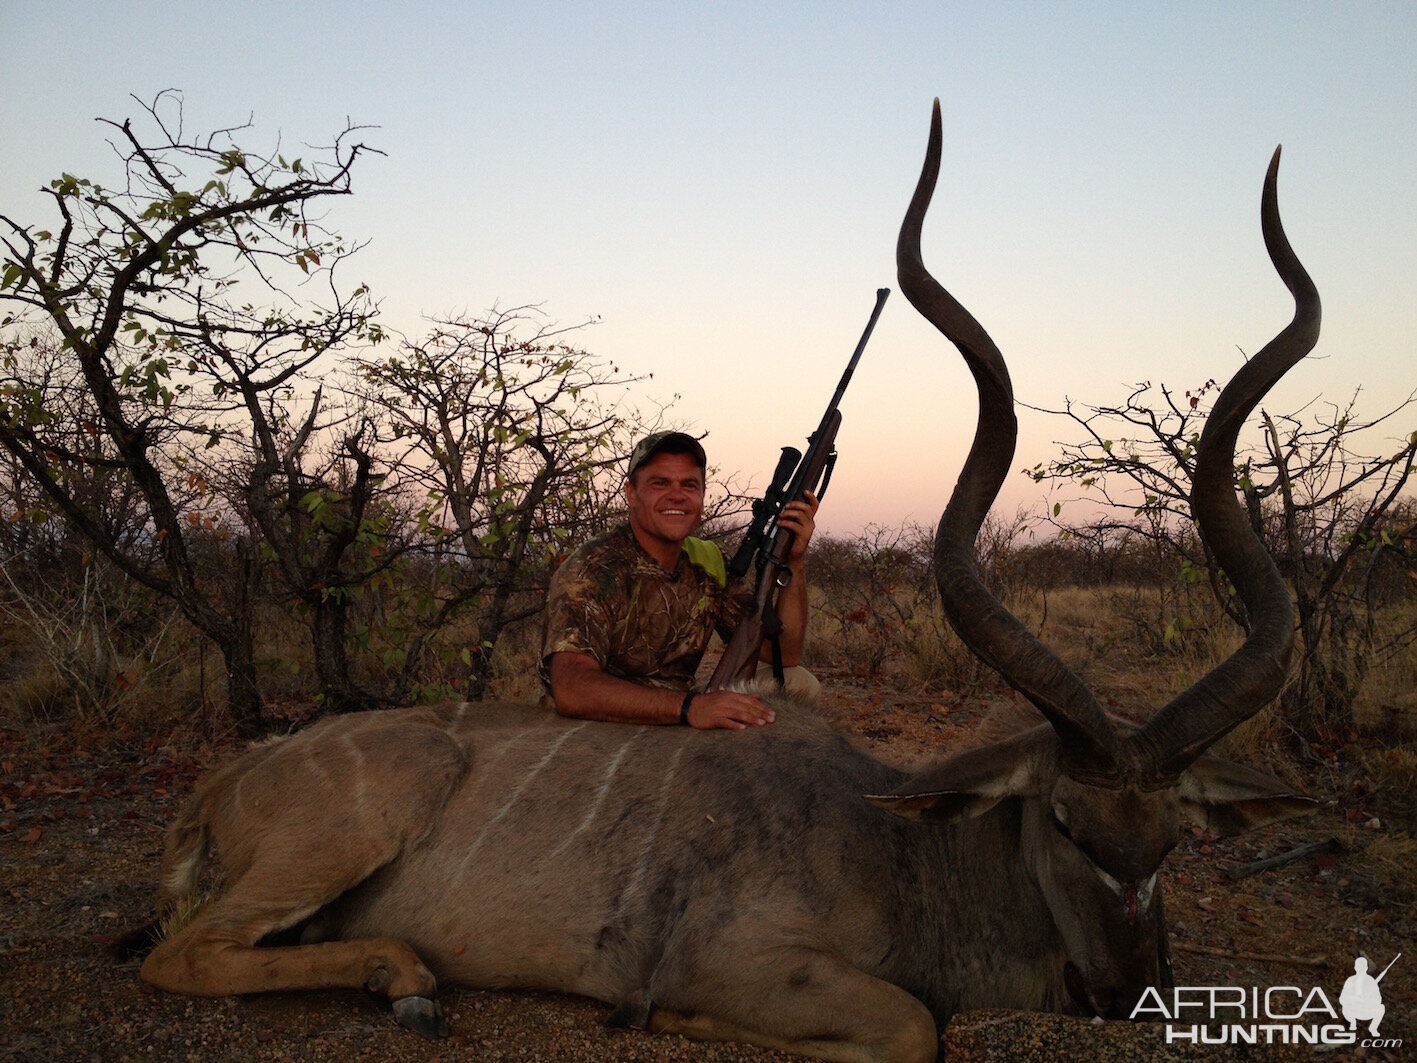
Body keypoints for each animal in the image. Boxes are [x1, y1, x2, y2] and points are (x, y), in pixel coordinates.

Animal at [135, 102, 1314, 1063]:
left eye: (1171, 840)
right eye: (1065, 822)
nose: (1125, 994)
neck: (898, 845)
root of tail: (220, 786)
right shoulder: (748, 958)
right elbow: (910, 1025)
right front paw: (668, 1017)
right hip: (359, 820)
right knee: (176, 956)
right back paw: (408, 978)